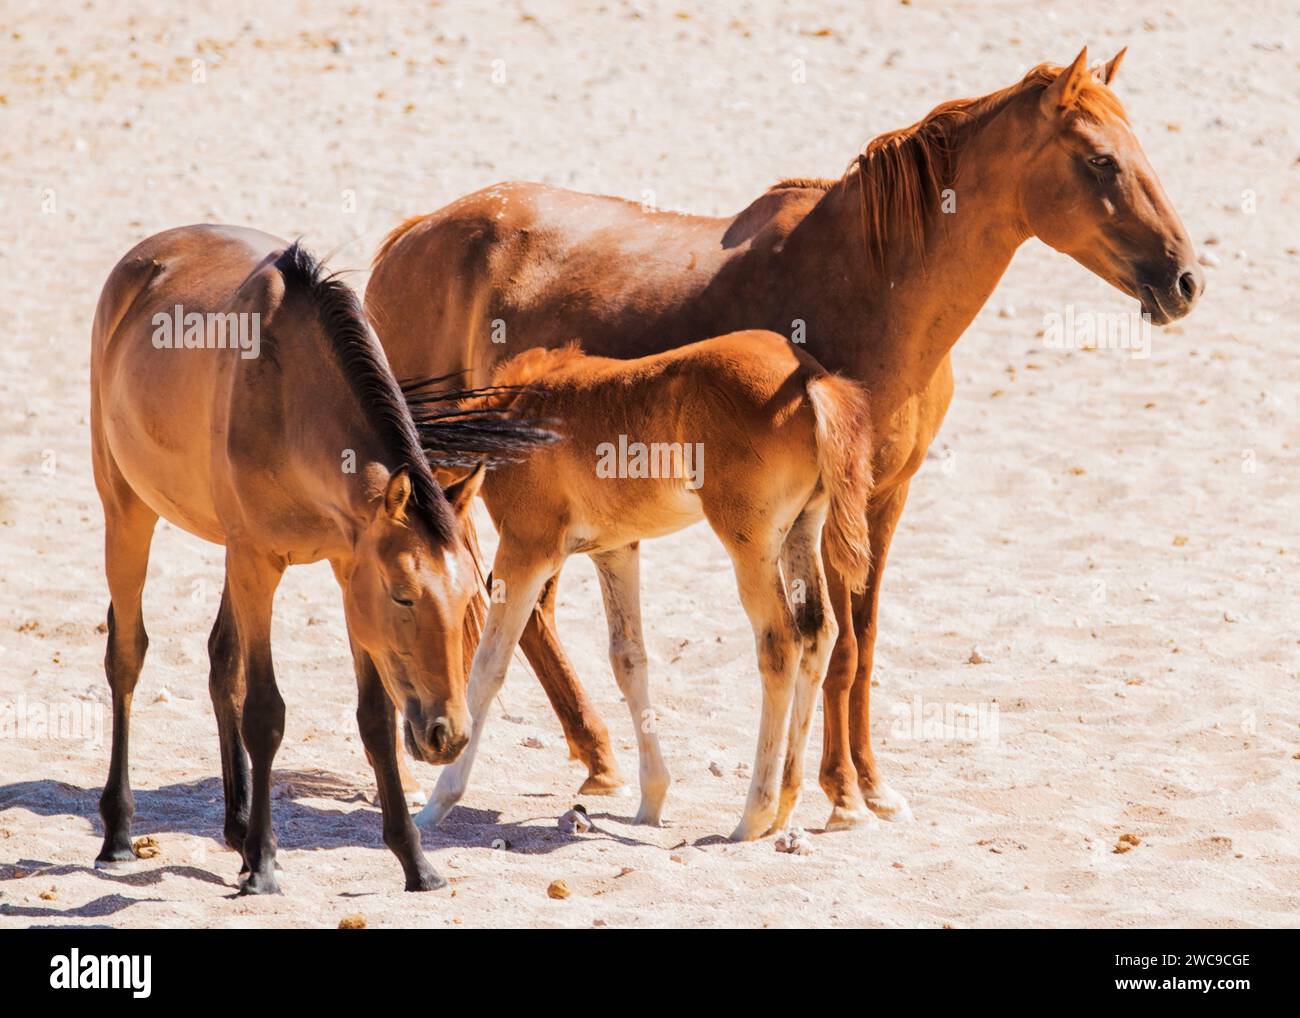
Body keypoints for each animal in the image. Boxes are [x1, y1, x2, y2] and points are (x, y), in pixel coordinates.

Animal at [89, 226, 552, 892]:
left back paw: (237, 829)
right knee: (127, 656)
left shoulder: (345, 566)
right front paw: (263, 867)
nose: (449, 735)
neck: (291, 393)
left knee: (221, 662)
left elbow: (375, 719)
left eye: (473, 597)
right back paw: (123, 832)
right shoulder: (260, 562)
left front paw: (415, 861)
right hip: (127, 510)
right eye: (404, 595)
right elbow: (264, 712)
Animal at [413, 332, 873, 839]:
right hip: (802, 530)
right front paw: (651, 800)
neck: (513, 417)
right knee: (818, 633)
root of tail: (812, 379)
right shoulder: (616, 550)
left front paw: (437, 803)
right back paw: (785, 808)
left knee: (780, 643)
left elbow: (489, 665)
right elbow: (628, 660)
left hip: (750, 543)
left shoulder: (527, 548)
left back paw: (753, 815)